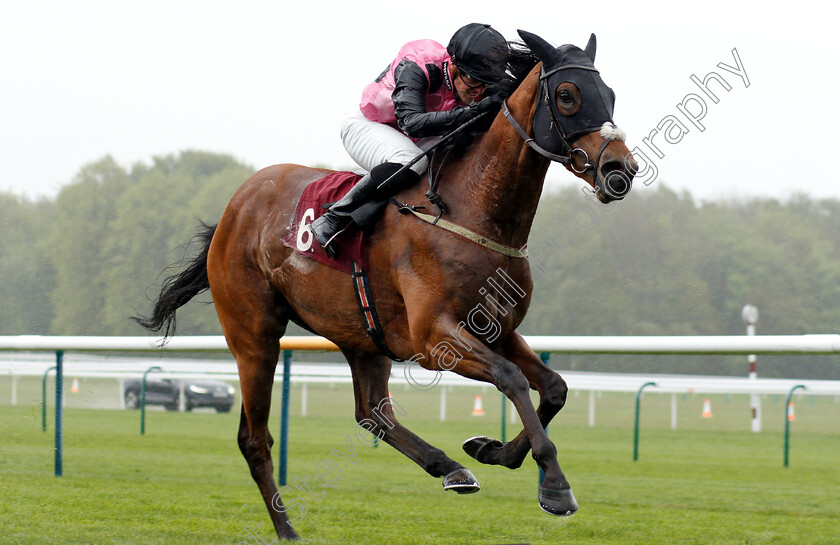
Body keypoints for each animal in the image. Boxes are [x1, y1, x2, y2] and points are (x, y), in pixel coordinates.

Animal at [135, 30, 636, 540]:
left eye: (610, 94)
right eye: (568, 96)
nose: (621, 170)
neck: (473, 210)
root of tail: (234, 208)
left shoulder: (495, 328)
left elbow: (554, 387)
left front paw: (491, 450)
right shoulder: (435, 339)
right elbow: (512, 378)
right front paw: (555, 486)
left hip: (363, 336)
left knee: (372, 413)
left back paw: (450, 467)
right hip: (254, 335)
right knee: (254, 438)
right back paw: (286, 527)